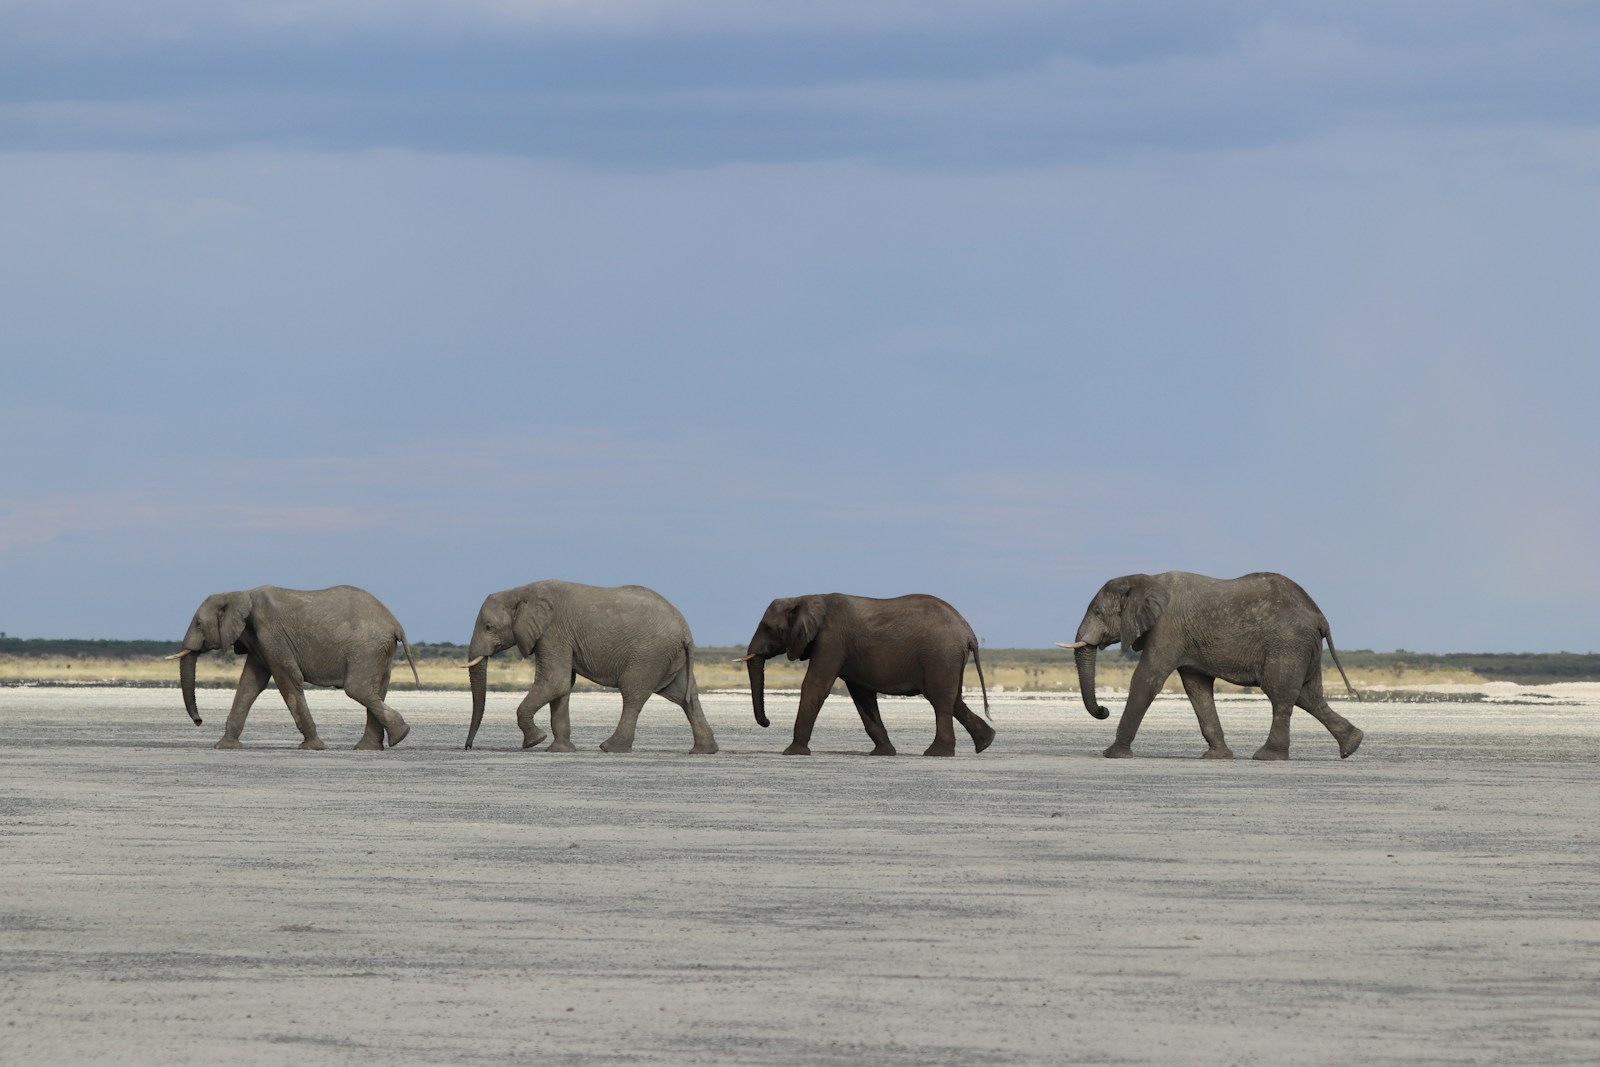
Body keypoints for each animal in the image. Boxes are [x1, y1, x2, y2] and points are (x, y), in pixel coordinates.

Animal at [169, 585, 419, 751]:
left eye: (199, 624)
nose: (199, 721)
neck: (239, 594)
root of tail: (395, 623)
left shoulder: (271, 634)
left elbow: (288, 679)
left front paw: (312, 747)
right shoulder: (259, 642)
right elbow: (249, 685)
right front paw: (224, 747)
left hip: (366, 647)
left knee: (357, 689)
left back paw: (400, 735)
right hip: (379, 650)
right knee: (376, 690)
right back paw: (371, 747)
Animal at [463, 580, 718, 754]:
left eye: (488, 627)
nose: (468, 747)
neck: (520, 591)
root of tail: (685, 629)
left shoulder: (552, 632)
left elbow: (555, 681)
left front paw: (535, 741)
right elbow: (563, 687)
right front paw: (560, 750)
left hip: (649, 654)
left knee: (633, 694)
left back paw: (610, 748)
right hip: (669, 657)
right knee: (685, 697)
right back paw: (703, 751)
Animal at [741, 593, 993, 757]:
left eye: (768, 628)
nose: (767, 722)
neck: (805, 597)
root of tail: (967, 631)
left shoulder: (831, 640)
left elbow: (815, 686)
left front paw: (792, 753)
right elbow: (862, 696)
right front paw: (883, 753)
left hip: (940, 655)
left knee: (939, 699)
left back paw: (937, 753)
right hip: (949, 658)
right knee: (953, 699)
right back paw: (986, 743)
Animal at [1060, 571, 1363, 760]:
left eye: (1098, 612)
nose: (1103, 710)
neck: (1145, 579)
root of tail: (1319, 616)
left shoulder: (1167, 629)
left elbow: (1147, 679)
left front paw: (1113, 754)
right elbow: (1197, 689)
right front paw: (1217, 757)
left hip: (1288, 644)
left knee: (1281, 694)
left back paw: (1267, 757)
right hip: (1304, 648)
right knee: (1308, 696)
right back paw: (1352, 745)